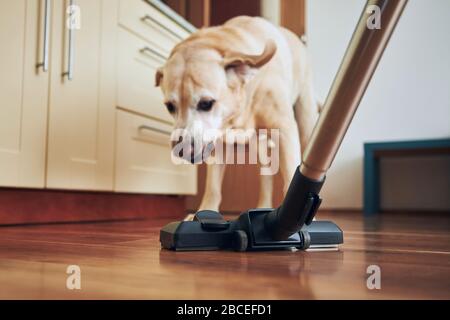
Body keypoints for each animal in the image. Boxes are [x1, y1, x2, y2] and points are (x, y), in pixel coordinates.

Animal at [155, 16, 320, 212]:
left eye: (206, 103)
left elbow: (290, 178)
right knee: (266, 176)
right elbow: (213, 188)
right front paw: (205, 212)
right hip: (259, 146)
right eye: (169, 106)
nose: (181, 151)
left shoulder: (285, 129)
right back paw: (263, 206)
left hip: (306, 120)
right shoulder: (219, 142)